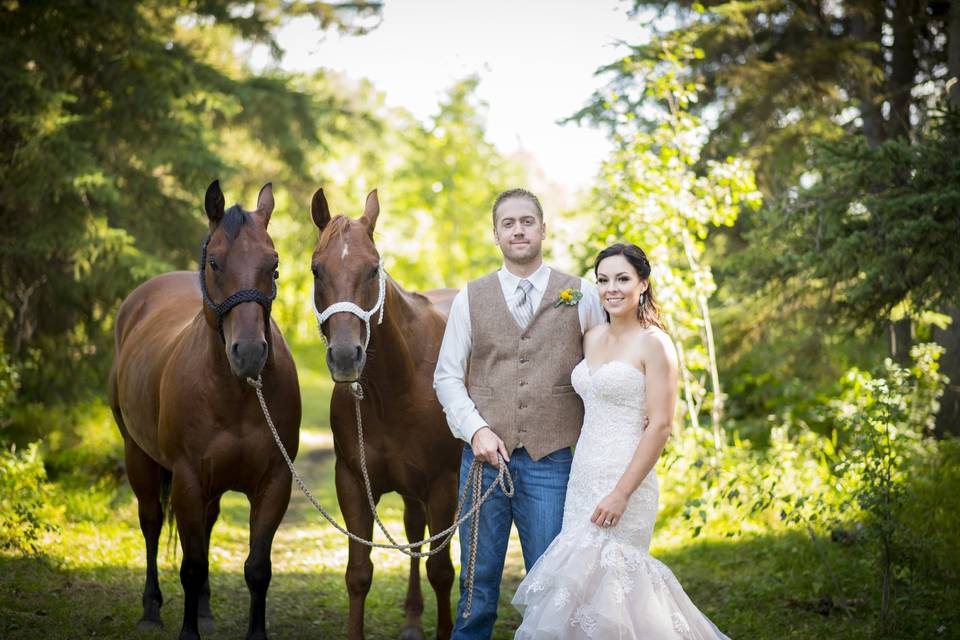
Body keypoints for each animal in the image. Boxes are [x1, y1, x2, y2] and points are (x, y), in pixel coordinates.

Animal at [108, 180, 300, 640]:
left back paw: (206, 608)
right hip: (138, 456)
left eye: (274, 265)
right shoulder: (188, 479)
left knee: (208, 526)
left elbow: (258, 569)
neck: (235, 396)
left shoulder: (275, 482)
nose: (249, 353)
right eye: (215, 262)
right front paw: (187, 630)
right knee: (151, 522)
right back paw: (151, 608)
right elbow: (191, 566)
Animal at [308, 188, 458, 636]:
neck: (396, 388)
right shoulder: (353, 482)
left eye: (373, 268)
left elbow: (442, 571)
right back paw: (411, 618)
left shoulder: (444, 484)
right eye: (316, 270)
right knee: (412, 532)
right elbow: (359, 573)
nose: (345, 356)